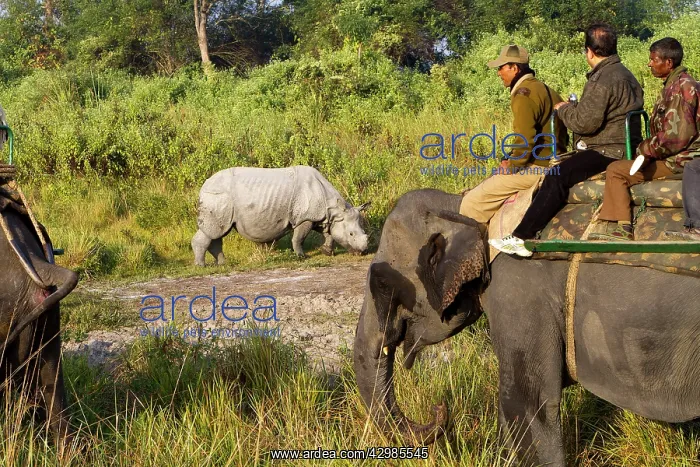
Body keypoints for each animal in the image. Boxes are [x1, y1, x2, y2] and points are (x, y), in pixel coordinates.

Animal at [192, 166, 370, 266]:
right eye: (351, 234)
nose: (362, 252)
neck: (334, 209)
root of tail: (203, 186)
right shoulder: (305, 218)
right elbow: (299, 237)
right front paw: (301, 256)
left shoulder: (320, 216)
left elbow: (329, 234)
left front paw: (327, 252)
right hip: (216, 197)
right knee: (213, 232)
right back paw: (201, 266)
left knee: (218, 232)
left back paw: (223, 264)